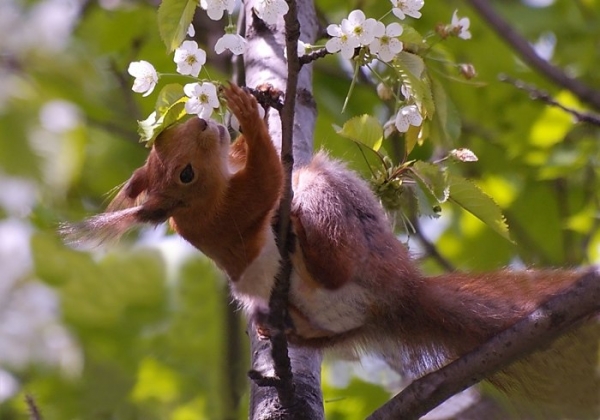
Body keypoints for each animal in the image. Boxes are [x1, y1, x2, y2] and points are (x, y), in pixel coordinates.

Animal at [62, 83, 600, 416]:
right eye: (184, 173)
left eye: (167, 135)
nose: (202, 123)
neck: (205, 200)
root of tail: (399, 292)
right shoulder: (234, 210)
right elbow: (267, 178)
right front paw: (248, 114)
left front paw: (261, 99)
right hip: (329, 205)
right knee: (330, 252)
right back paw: (302, 243)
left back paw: (278, 325)